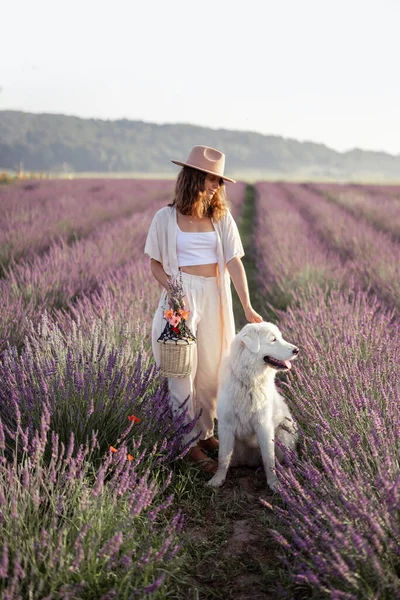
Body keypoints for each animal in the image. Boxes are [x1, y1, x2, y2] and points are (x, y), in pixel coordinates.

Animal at [208, 322, 298, 490]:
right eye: (273, 340)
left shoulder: (264, 426)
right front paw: (217, 479)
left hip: (283, 436)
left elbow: (269, 460)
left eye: (281, 337)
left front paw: (274, 483)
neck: (249, 383)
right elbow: (223, 457)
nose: (297, 350)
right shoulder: (226, 426)